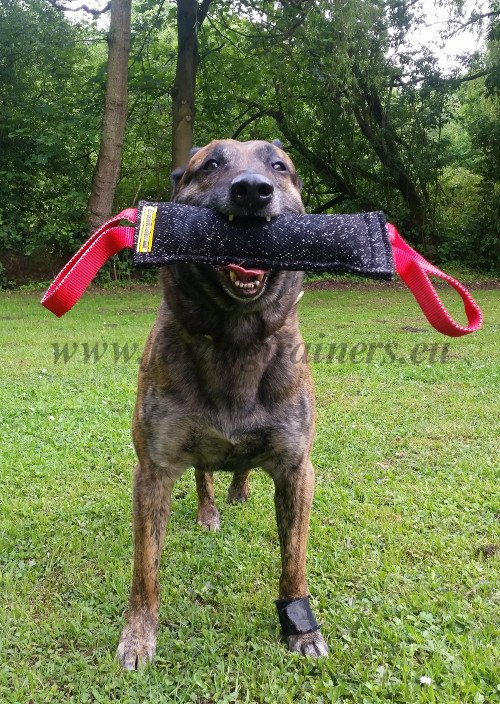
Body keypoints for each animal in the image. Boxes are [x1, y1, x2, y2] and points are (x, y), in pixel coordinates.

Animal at [116, 139, 328, 672]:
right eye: (211, 164)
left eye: (279, 166)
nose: (252, 190)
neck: (235, 339)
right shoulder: (153, 468)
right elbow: (145, 568)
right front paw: (138, 634)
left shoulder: (297, 468)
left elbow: (294, 559)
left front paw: (300, 628)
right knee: (204, 474)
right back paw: (210, 509)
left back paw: (238, 490)